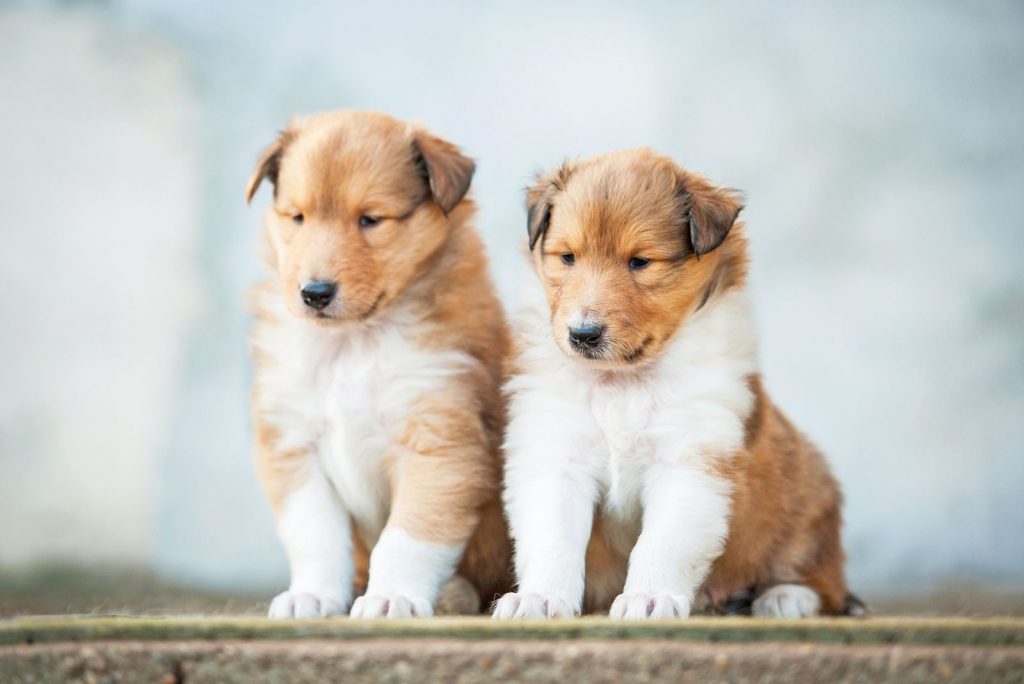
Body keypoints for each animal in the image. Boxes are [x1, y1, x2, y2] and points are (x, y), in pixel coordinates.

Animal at [247, 109, 512, 618]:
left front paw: (392, 597)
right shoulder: (294, 442)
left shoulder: (439, 440)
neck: (353, 344)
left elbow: (408, 538)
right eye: (297, 217)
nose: (314, 293)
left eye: (370, 219)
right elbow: (315, 534)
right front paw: (311, 596)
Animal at [491, 149, 851, 618]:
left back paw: (784, 597)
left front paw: (648, 598)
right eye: (567, 257)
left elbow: (662, 543)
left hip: (807, 501)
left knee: (823, 580)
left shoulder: (690, 461)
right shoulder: (556, 454)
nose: (583, 334)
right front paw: (539, 597)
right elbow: (552, 538)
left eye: (640, 261)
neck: (623, 383)